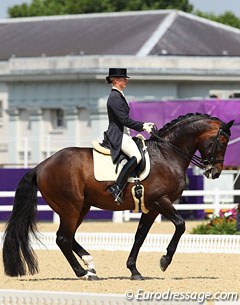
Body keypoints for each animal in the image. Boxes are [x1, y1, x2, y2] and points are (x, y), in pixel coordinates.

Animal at [1, 113, 233, 280]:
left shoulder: (152, 207)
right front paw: (165, 261)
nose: (215, 172)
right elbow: (180, 224)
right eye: (221, 141)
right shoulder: (161, 200)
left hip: (81, 207)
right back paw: (84, 273)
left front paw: (134, 270)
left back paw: (90, 265)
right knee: (63, 238)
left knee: (68, 237)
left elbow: (140, 237)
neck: (167, 154)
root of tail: (41, 166)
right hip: (70, 207)